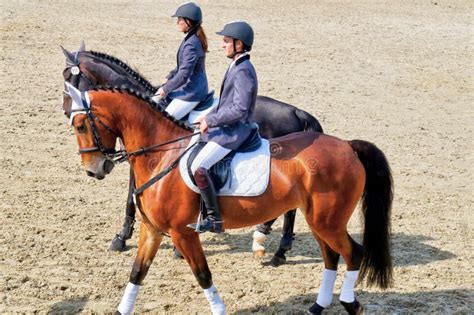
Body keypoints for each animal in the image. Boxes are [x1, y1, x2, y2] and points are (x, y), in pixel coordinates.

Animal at [61, 42, 324, 264]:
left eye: (68, 80)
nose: (66, 111)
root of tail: (296, 112)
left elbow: (130, 199)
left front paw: (121, 237)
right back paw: (275, 246)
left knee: (289, 208)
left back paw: (271, 245)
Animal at [64, 84, 392, 315]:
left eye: (80, 125)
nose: (94, 170)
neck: (162, 154)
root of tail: (347, 146)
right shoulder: (152, 231)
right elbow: (137, 273)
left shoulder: (183, 234)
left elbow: (203, 276)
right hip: (319, 221)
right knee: (332, 257)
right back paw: (316, 306)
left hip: (328, 222)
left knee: (354, 253)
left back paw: (350, 303)